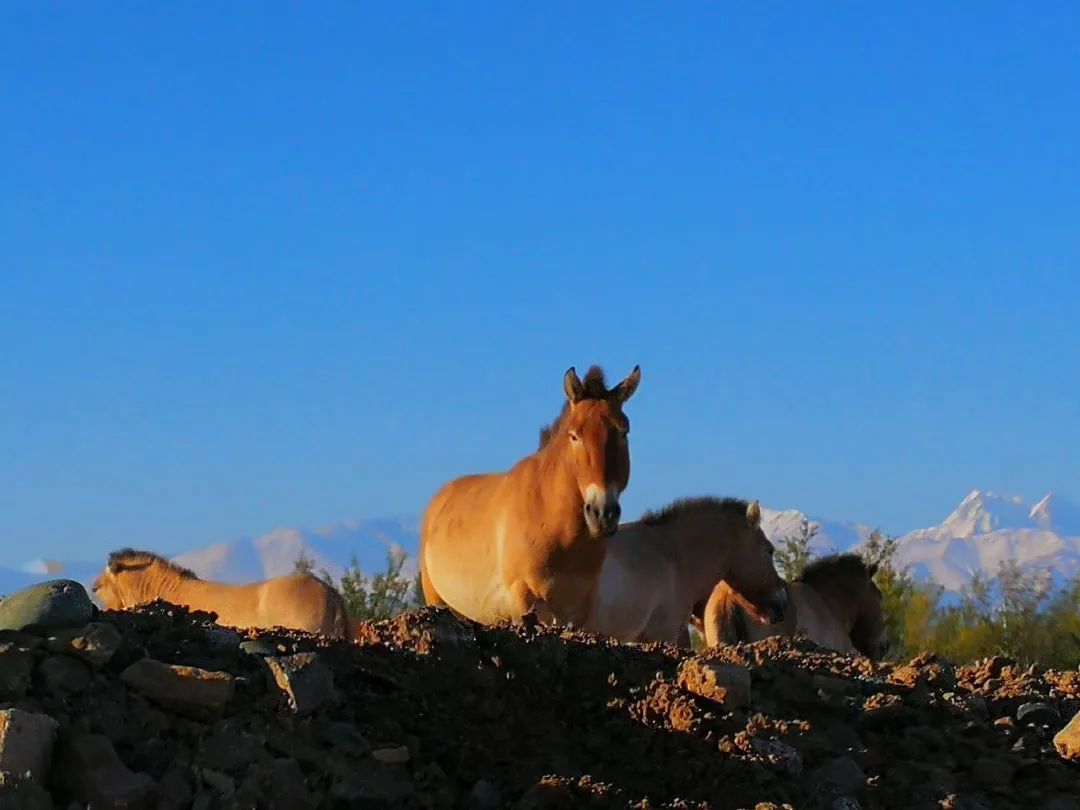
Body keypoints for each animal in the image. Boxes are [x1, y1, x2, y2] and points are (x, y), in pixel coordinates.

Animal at [419, 367, 639, 626]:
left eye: (624, 432)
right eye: (574, 435)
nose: (602, 513)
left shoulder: (579, 608)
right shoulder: (523, 597)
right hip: (437, 601)